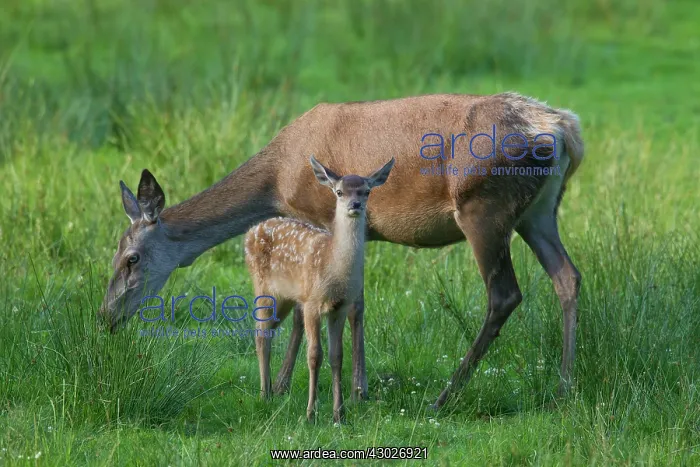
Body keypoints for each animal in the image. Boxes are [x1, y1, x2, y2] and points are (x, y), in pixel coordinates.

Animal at [244, 156, 394, 422]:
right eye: (339, 192)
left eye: (366, 191)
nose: (355, 204)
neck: (332, 268)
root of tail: (251, 232)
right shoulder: (311, 302)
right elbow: (314, 355)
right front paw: (310, 413)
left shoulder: (339, 307)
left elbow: (337, 356)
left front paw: (339, 413)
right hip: (262, 287)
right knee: (260, 334)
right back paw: (264, 395)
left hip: (285, 297)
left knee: (268, 331)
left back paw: (270, 390)